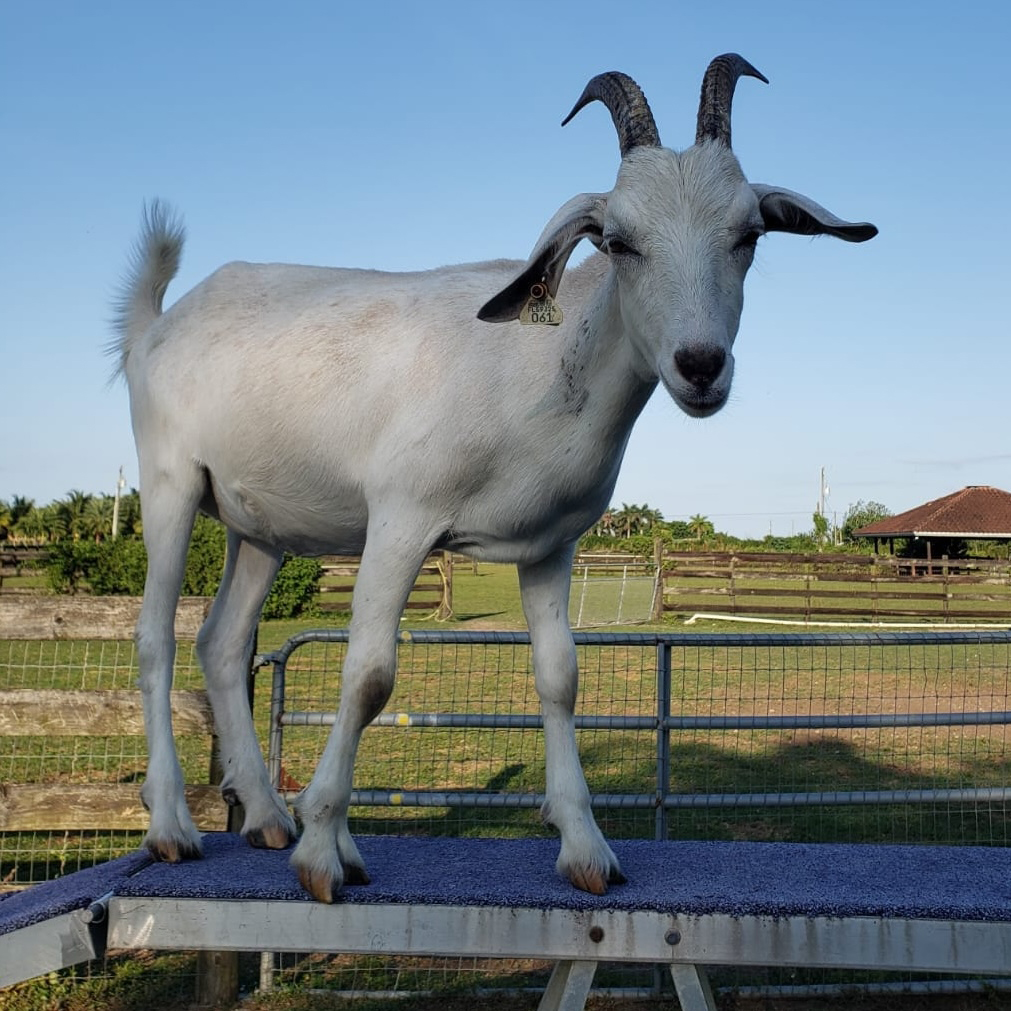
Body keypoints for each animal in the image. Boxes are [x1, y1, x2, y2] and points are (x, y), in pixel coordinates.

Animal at [112, 55, 876, 901]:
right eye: (617, 241)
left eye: (747, 235)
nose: (700, 365)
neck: (540, 361)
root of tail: (156, 324)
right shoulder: (401, 517)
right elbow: (369, 673)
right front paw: (321, 851)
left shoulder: (550, 545)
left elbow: (560, 676)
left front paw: (584, 846)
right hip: (171, 479)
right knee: (154, 638)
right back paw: (174, 825)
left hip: (261, 526)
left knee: (220, 642)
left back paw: (267, 816)